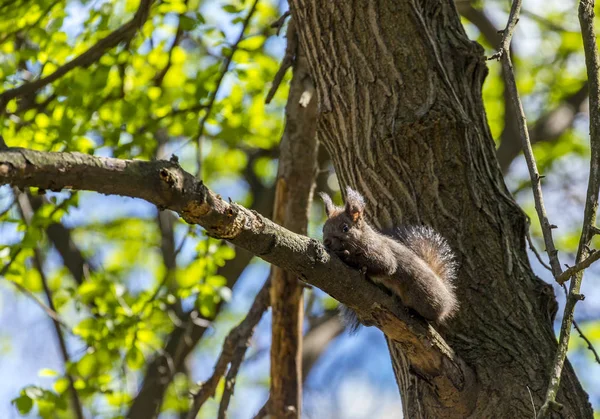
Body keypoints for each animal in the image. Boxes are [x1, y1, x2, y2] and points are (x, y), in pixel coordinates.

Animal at [322, 188, 458, 332]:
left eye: (345, 228)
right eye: (323, 228)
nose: (326, 241)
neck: (362, 238)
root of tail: (448, 297)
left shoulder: (380, 251)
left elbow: (385, 265)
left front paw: (347, 257)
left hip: (423, 295)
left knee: (434, 315)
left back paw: (415, 312)